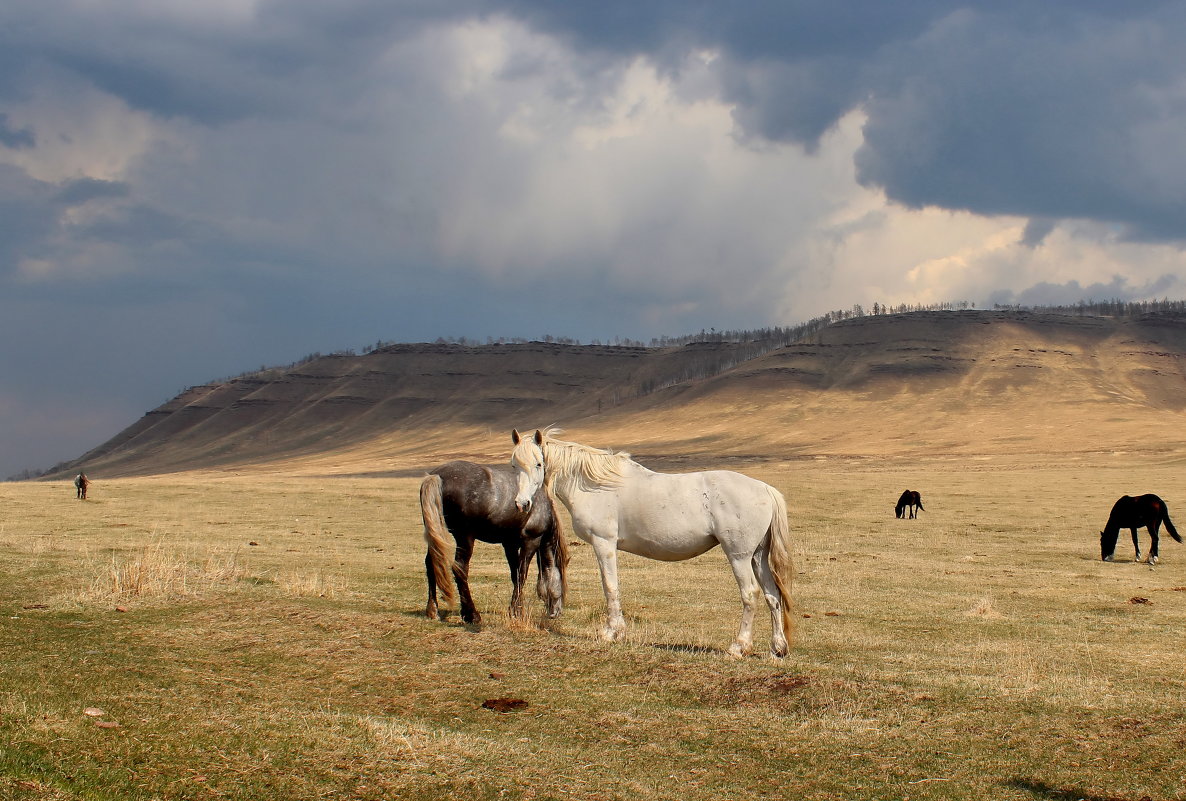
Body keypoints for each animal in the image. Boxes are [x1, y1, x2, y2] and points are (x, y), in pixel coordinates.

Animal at [419, 462, 566, 626]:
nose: (556, 612)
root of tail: (438, 476)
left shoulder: (510, 544)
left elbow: (515, 575)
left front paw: (518, 610)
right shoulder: (531, 541)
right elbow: (522, 575)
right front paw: (514, 611)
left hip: (435, 532)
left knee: (431, 563)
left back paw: (433, 610)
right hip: (465, 538)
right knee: (460, 568)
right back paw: (471, 615)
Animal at [512, 429, 796, 659]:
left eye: (539, 463)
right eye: (514, 465)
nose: (522, 504)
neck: (595, 486)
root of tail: (765, 489)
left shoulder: (604, 544)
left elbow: (610, 587)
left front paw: (612, 632)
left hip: (739, 556)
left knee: (750, 594)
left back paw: (739, 646)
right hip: (757, 557)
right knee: (772, 595)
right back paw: (778, 648)